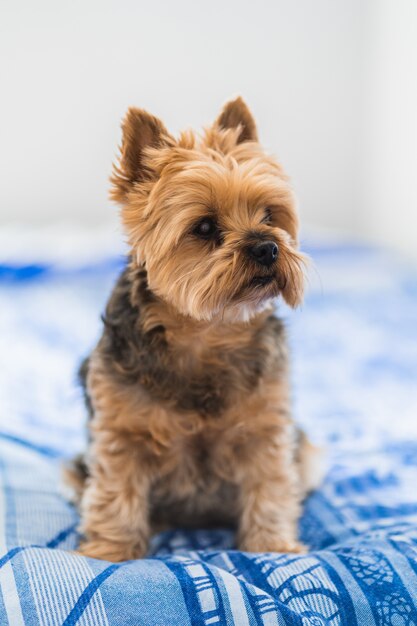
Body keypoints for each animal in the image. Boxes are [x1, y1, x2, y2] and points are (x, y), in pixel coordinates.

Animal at [63, 97, 320, 560]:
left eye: (270, 215)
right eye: (204, 227)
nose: (268, 247)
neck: (207, 329)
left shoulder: (265, 430)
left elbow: (270, 487)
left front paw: (272, 548)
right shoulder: (121, 433)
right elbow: (115, 493)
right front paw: (110, 553)